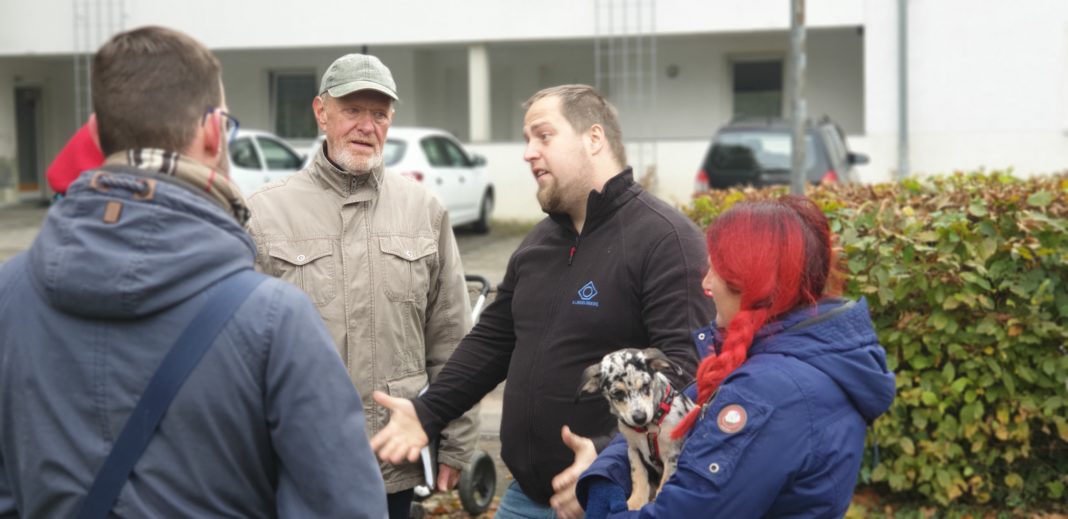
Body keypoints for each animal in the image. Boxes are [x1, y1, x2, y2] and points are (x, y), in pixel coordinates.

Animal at [580, 346, 696, 508]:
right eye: (617, 393)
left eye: (646, 385)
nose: (640, 418)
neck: (648, 428)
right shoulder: (633, 450)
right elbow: (638, 476)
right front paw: (635, 502)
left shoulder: (672, 454)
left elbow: (666, 481)